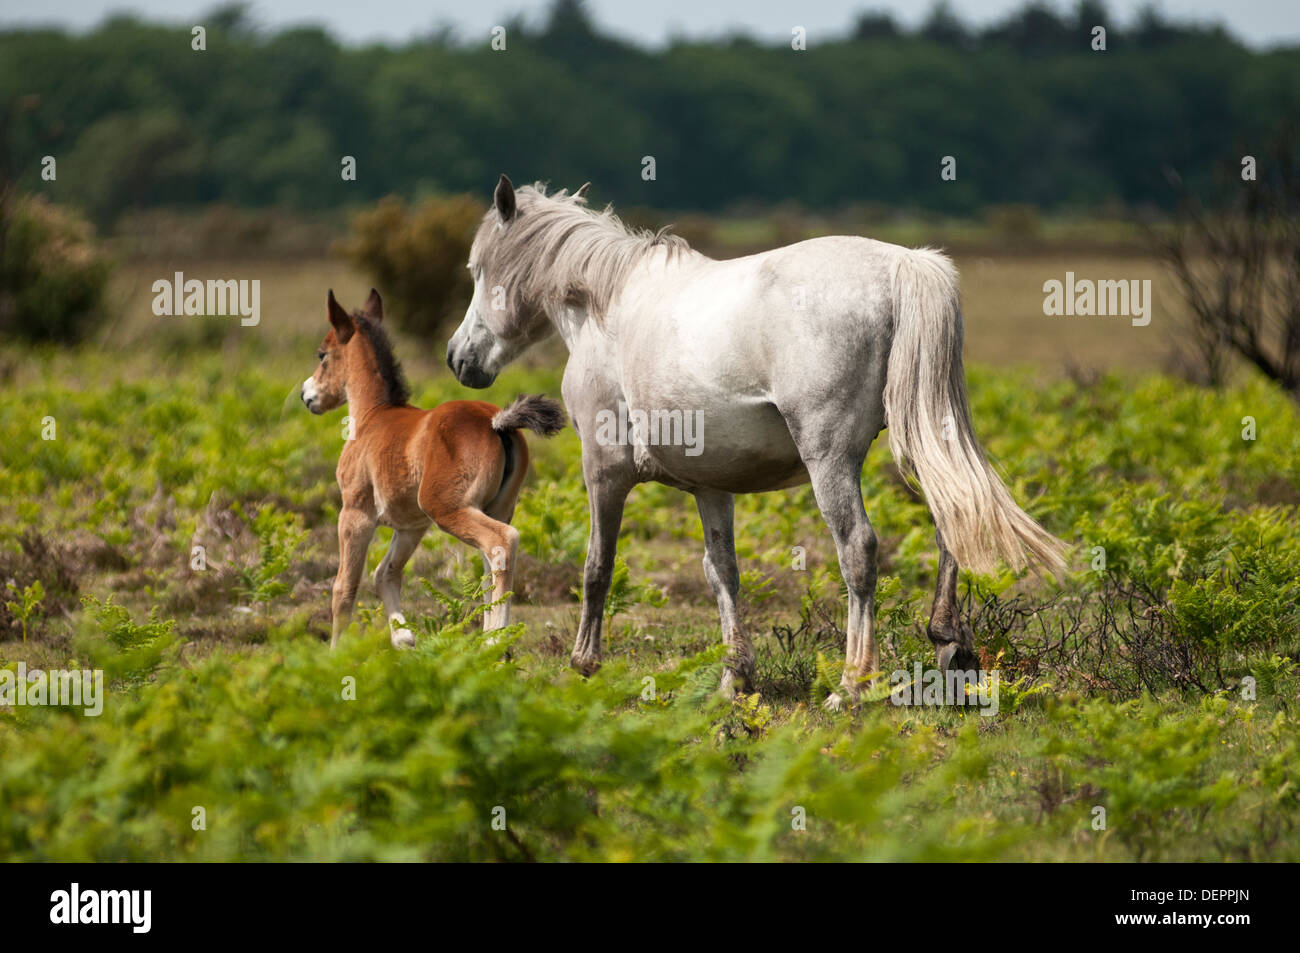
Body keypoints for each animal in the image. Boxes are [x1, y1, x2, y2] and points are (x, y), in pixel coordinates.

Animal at [302, 287, 566, 648]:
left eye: (322, 354)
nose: (307, 394)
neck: (373, 415)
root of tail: (497, 422)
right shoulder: (411, 526)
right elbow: (385, 572)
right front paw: (404, 637)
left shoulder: (355, 513)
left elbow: (345, 586)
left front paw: (335, 652)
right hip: (496, 507)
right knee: (489, 565)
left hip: (447, 507)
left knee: (501, 543)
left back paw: (495, 642)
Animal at [447, 176, 1066, 708]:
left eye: (478, 271)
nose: (459, 359)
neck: (609, 308)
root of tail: (901, 263)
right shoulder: (709, 488)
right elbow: (722, 571)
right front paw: (735, 679)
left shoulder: (603, 471)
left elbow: (597, 566)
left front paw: (585, 664)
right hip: (921, 437)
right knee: (953, 519)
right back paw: (949, 646)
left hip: (830, 459)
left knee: (859, 549)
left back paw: (852, 684)